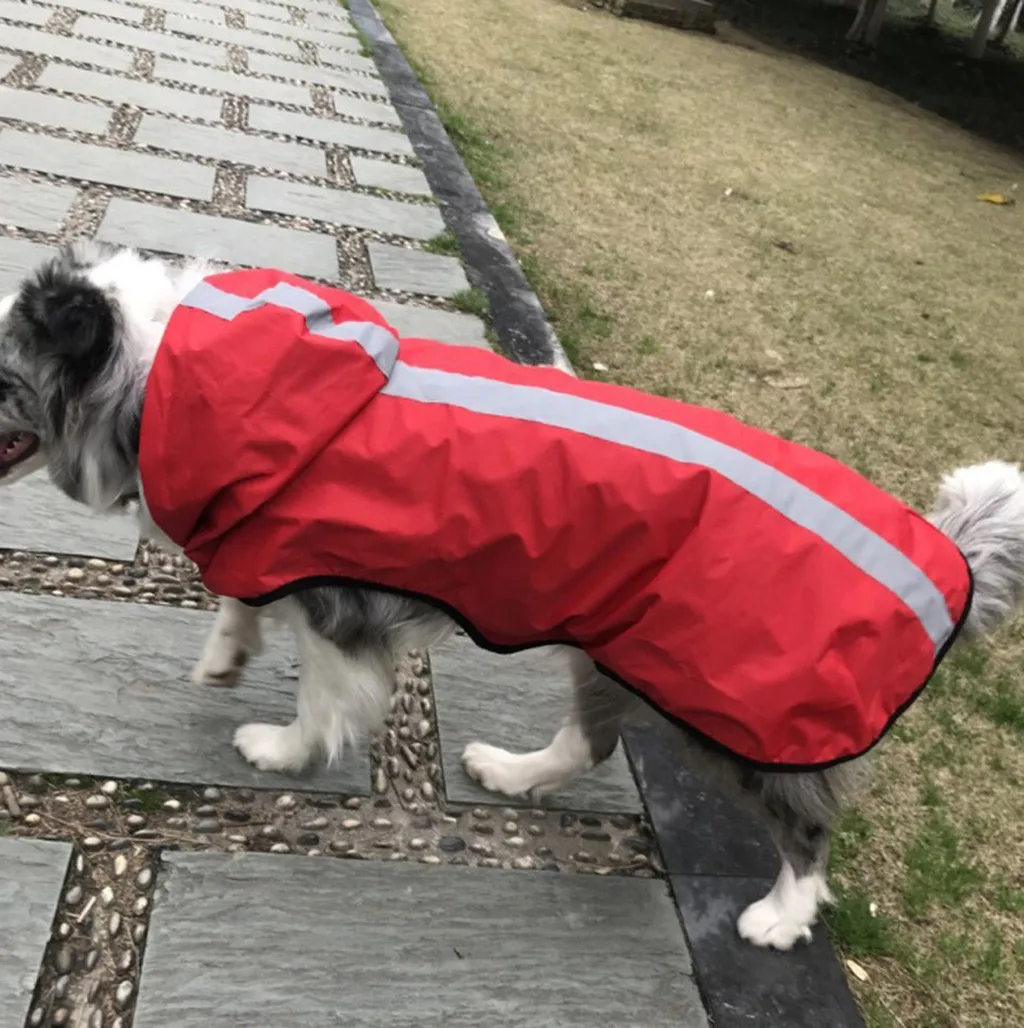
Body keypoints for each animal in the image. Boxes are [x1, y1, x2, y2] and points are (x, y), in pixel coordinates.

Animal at [6, 238, 1023, 945]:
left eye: (3, 380)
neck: (170, 376)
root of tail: (945, 562)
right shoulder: (269, 543)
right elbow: (240, 598)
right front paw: (227, 653)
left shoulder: (341, 607)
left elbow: (324, 702)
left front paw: (283, 750)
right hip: (615, 648)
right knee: (591, 742)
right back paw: (512, 772)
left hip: (751, 708)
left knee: (806, 825)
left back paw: (782, 915)